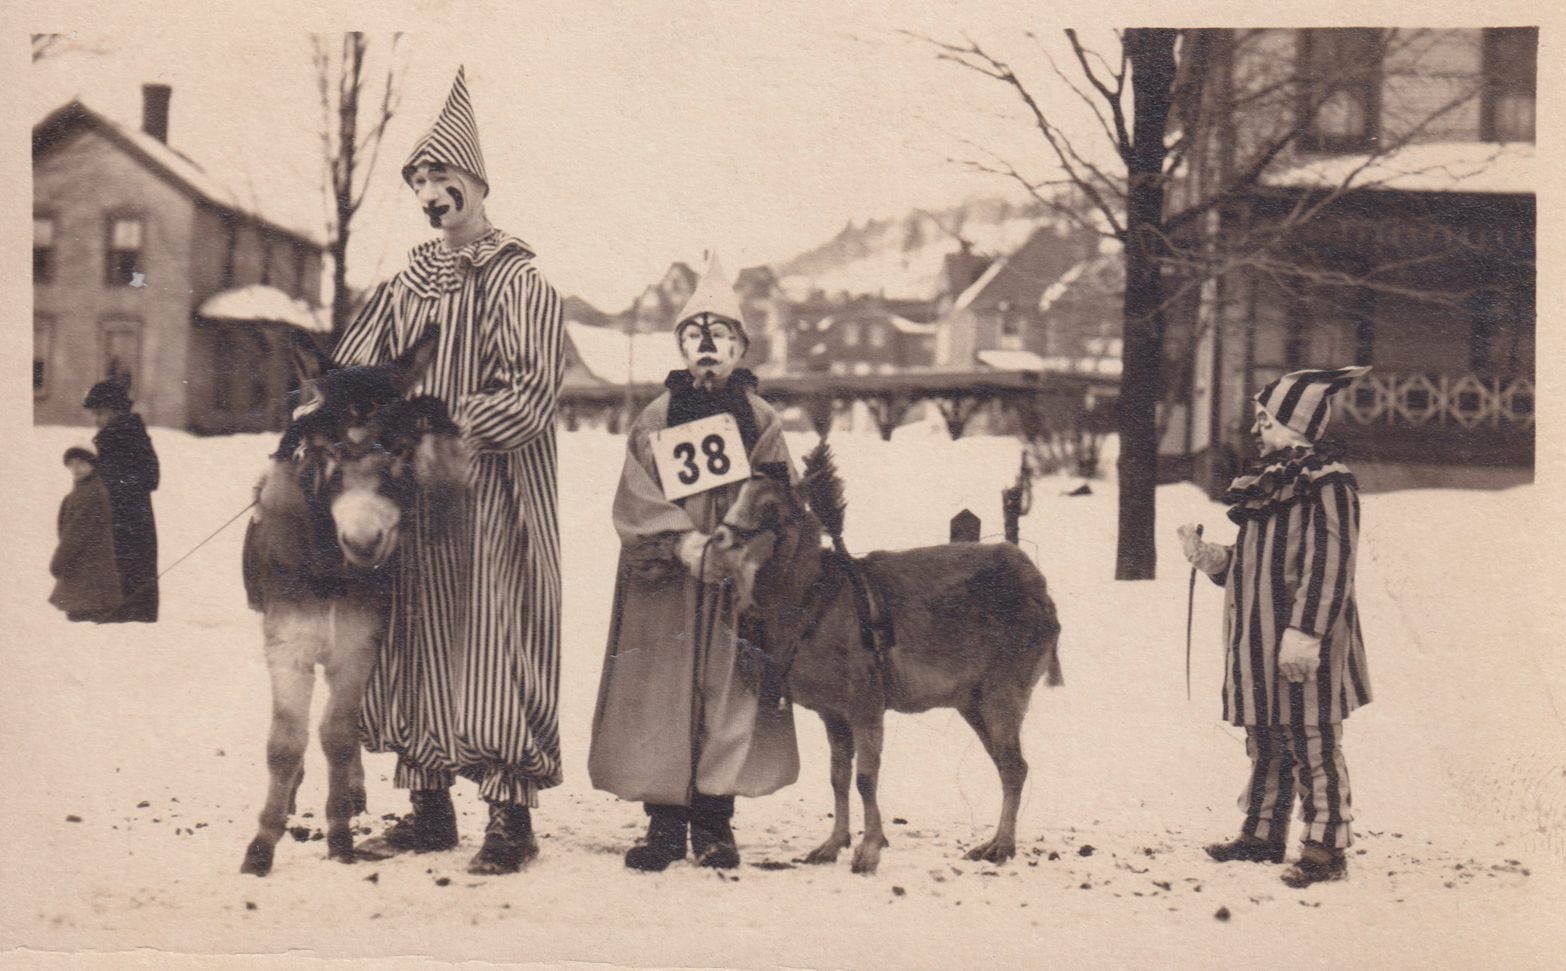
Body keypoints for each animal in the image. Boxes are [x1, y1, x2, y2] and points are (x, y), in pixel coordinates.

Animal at [238, 326, 469, 877]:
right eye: (325, 453)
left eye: (402, 450)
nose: (364, 541)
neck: (331, 570)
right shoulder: (289, 648)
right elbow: (285, 743)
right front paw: (262, 846)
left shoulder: (357, 648)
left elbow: (340, 737)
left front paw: (340, 835)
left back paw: (354, 792)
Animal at [712, 444, 1062, 874]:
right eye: (737, 496)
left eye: (771, 507)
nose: (721, 538)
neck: (812, 602)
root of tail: (1041, 593)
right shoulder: (833, 712)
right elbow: (838, 776)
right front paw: (831, 845)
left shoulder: (867, 702)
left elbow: (866, 777)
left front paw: (869, 851)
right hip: (972, 701)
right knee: (1006, 764)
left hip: (1005, 690)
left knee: (1014, 766)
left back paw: (1000, 847)